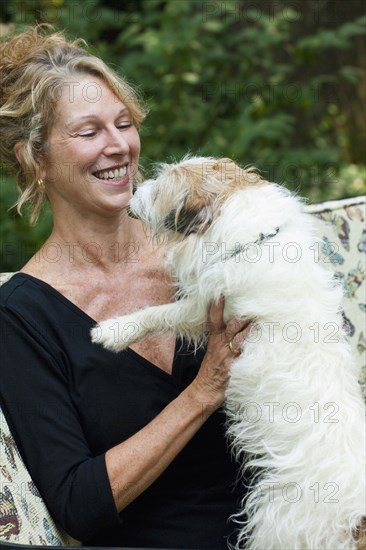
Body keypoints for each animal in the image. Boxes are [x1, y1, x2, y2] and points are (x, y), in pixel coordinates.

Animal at [90, 157, 364, 548]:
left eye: (160, 190)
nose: (135, 189)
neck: (253, 240)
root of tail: (358, 519)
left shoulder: (205, 306)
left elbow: (159, 314)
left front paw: (113, 331)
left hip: (278, 524)